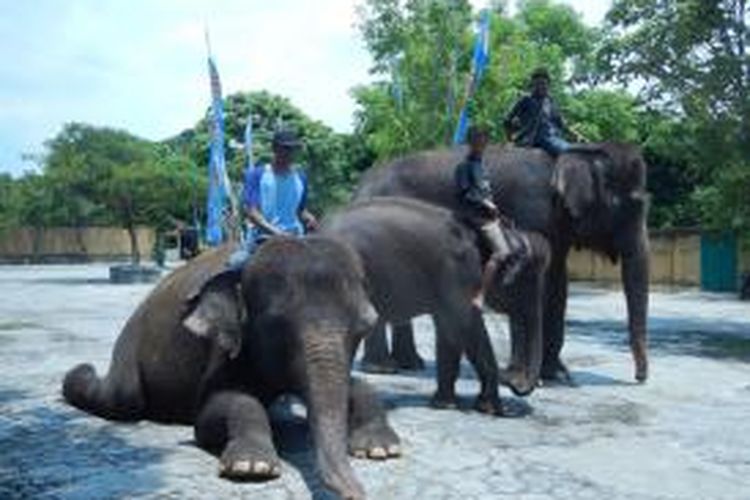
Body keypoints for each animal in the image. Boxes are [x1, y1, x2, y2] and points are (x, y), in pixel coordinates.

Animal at [62, 236, 402, 498]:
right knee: (123, 399)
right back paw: (81, 372)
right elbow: (217, 408)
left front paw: (381, 449)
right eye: (276, 325)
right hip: (128, 351)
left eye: (365, 326)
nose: (356, 495)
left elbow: (356, 385)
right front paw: (251, 467)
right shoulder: (224, 347)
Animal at [324, 197, 552, 408]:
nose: (514, 382)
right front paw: (491, 409)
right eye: (527, 282)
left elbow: (448, 330)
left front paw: (445, 404)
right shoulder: (459, 273)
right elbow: (465, 324)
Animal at [356, 143, 648, 384]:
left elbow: (557, 284)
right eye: (631, 205)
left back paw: (410, 365)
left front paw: (558, 376)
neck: (571, 154)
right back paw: (383, 368)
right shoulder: (530, 212)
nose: (639, 378)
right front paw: (527, 378)